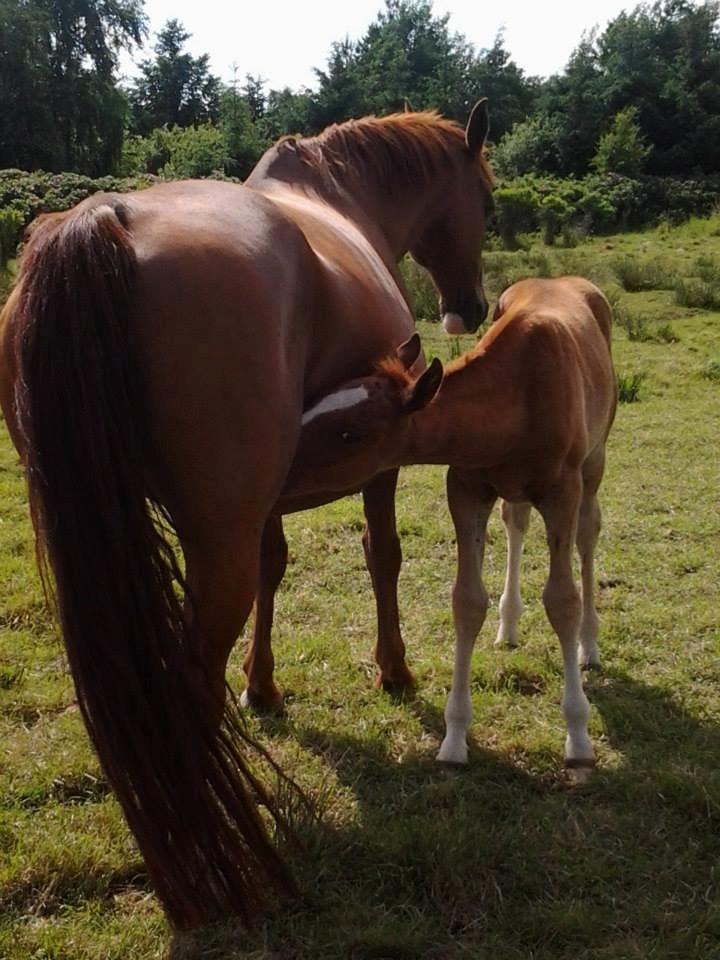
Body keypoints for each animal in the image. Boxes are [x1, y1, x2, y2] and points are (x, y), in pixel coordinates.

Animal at [0, 105, 492, 928]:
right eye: (486, 201)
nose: (473, 310)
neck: (337, 197)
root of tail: (106, 221)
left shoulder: (274, 492)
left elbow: (276, 565)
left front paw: (262, 686)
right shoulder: (380, 457)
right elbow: (382, 553)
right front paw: (393, 668)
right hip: (212, 546)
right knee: (187, 687)